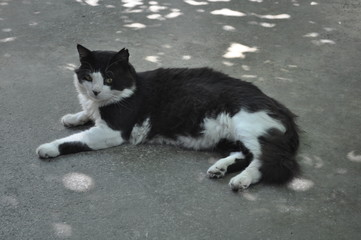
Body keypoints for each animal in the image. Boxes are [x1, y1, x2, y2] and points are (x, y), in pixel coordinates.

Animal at [36, 44, 300, 191]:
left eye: (109, 77)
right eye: (89, 77)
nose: (96, 91)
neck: (132, 87)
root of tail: (282, 109)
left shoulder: (111, 132)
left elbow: (74, 140)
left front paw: (48, 147)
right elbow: (85, 114)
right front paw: (73, 117)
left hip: (249, 127)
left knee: (269, 161)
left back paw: (241, 180)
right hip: (230, 137)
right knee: (245, 155)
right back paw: (219, 169)